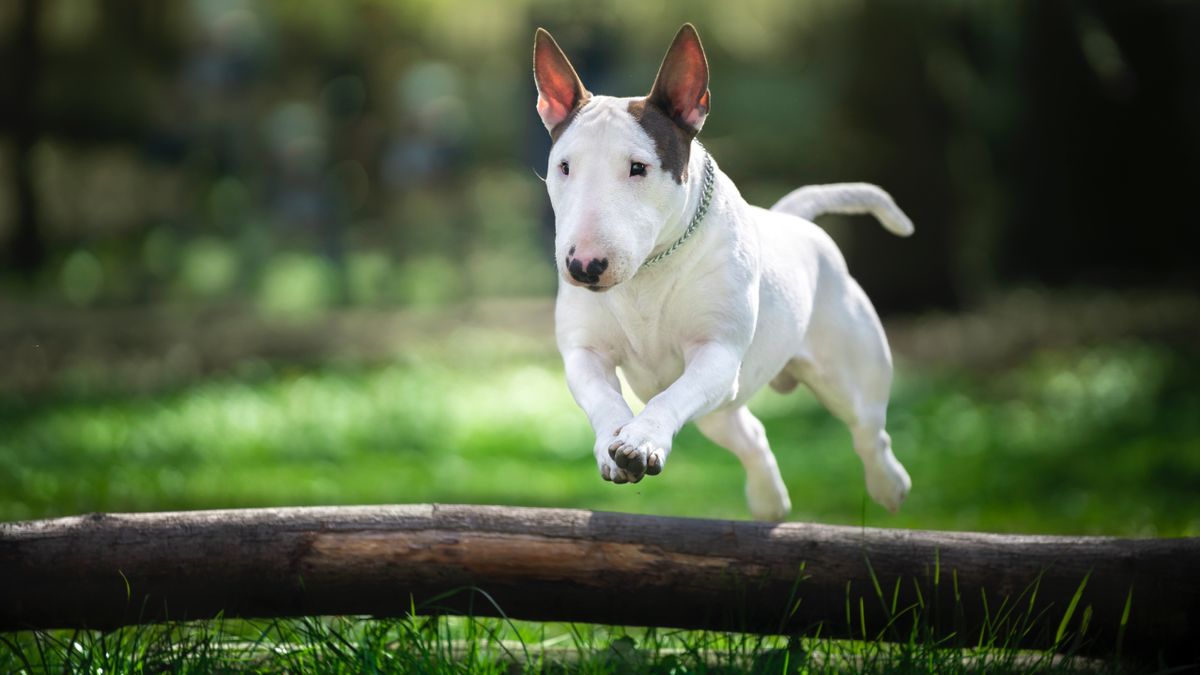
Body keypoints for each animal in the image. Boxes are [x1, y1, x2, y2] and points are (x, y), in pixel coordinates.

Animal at [532, 23, 907, 516]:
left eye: (638, 168)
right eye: (564, 167)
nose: (583, 266)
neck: (648, 272)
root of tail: (796, 221)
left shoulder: (718, 354)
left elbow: (673, 394)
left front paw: (641, 440)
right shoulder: (584, 353)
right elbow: (604, 398)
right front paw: (613, 445)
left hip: (845, 374)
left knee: (869, 432)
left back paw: (889, 485)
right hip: (721, 409)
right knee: (752, 436)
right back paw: (769, 502)